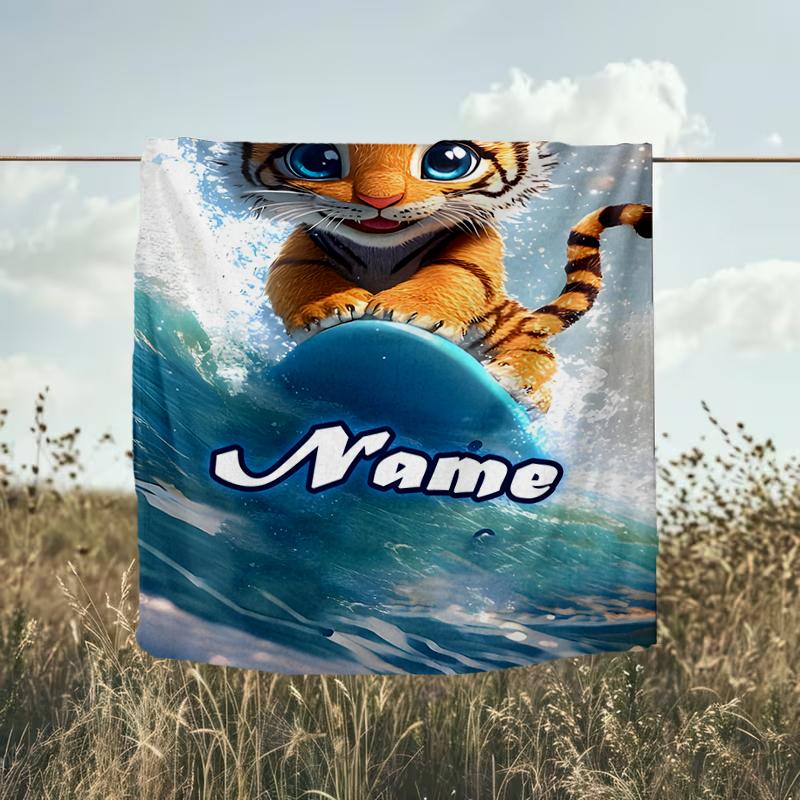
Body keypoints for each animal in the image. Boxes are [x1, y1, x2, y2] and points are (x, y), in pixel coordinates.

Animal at [218, 141, 652, 412]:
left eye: (447, 161)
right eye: (318, 161)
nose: (380, 200)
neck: (381, 248)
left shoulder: (472, 251)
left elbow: (451, 276)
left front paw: (406, 312)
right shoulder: (300, 252)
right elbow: (302, 276)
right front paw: (330, 309)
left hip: (515, 337)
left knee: (538, 357)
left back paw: (520, 386)